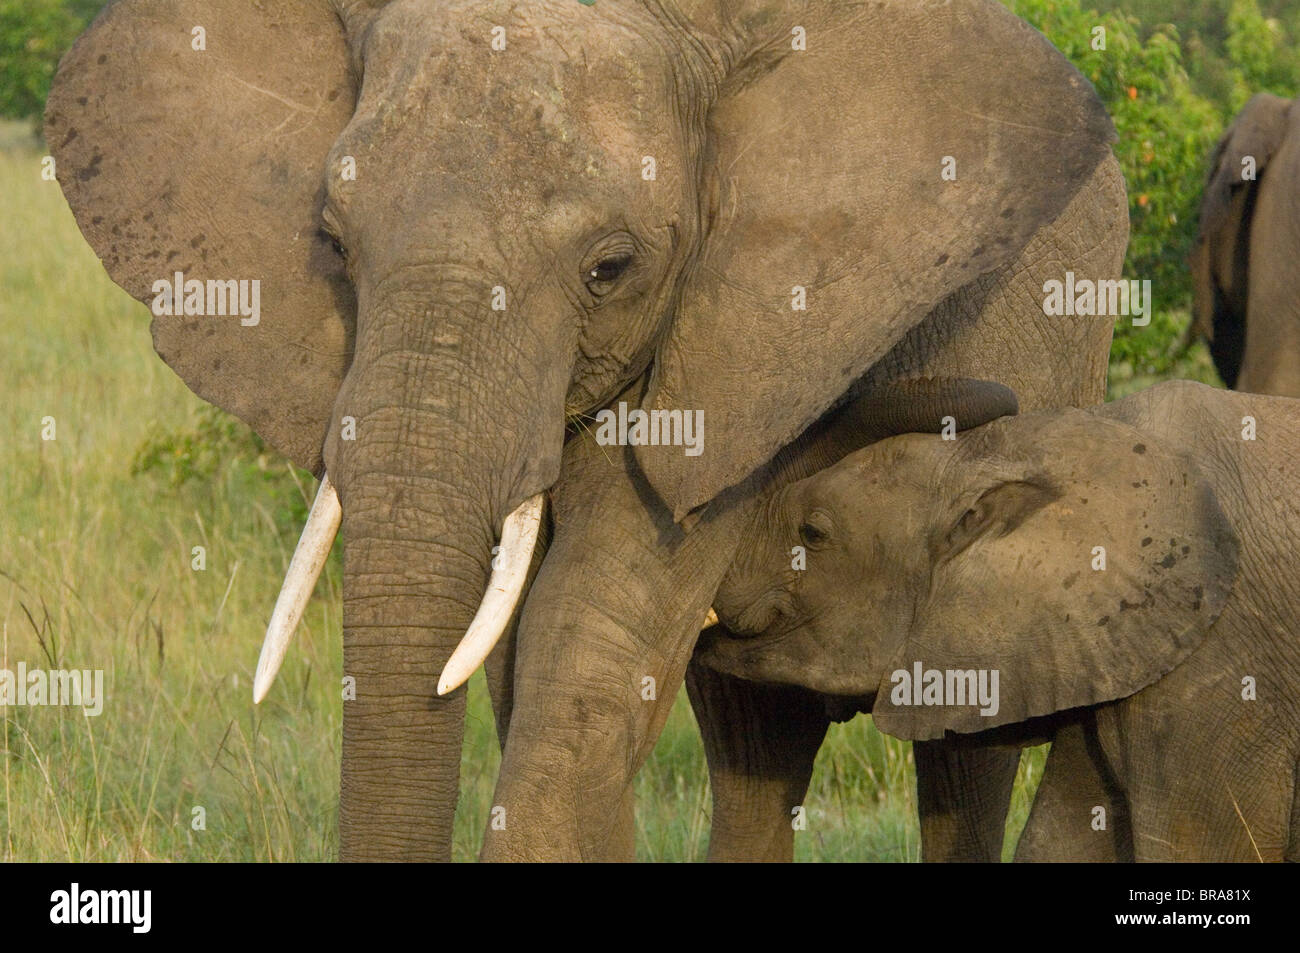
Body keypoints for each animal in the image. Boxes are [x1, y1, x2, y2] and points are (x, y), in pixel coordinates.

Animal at [46, 0, 1129, 861]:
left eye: (611, 268)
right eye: (333, 244)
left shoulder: (743, 351)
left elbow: (586, 652)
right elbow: (525, 670)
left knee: (963, 755)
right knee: (752, 747)